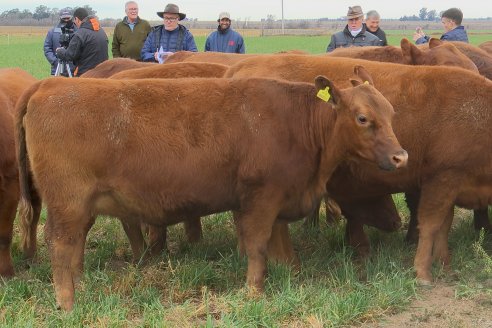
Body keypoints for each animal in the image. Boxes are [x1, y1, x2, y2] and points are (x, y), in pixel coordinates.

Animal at [16, 72, 408, 310]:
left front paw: (292, 277)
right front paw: (254, 291)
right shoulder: (260, 200)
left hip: (81, 206)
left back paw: (79, 285)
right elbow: (257, 245)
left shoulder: (278, 198)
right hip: (67, 203)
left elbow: (282, 246)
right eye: (362, 118)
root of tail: (47, 85)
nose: (400, 156)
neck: (297, 124)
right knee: (60, 244)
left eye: (391, 112)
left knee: (75, 245)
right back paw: (67, 302)